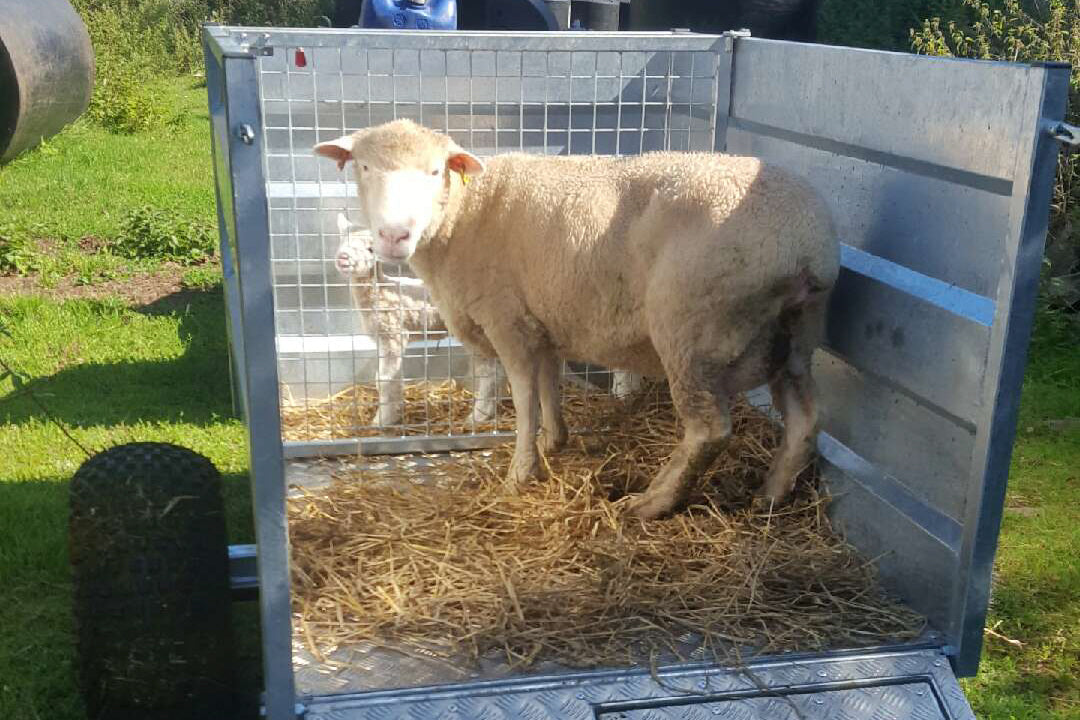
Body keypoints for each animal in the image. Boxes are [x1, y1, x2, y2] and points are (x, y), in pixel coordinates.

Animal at [334, 212, 499, 428]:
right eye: (341, 242)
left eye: (371, 249)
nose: (343, 258)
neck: (381, 291)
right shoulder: (384, 339)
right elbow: (388, 378)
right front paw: (393, 414)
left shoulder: (394, 334)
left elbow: (384, 380)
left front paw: (382, 420)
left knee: (489, 370)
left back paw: (479, 416)